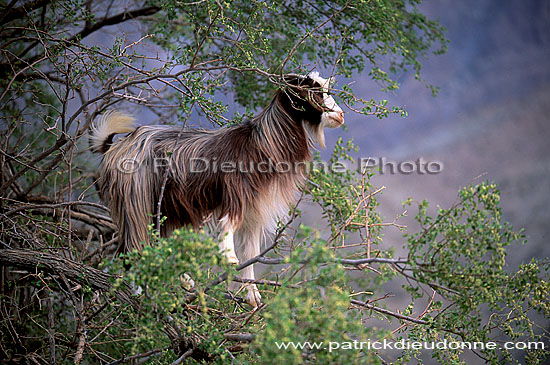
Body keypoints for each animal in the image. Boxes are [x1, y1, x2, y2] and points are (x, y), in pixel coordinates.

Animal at [91, 71, 344, 304]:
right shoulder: (235, 192)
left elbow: (250, 252)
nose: (340, 116)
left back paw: (183, 280)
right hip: (136, 199)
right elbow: (227, 223)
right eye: (312, 92)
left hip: (166, 207)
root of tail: (117, 146)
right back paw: (140, 293)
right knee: (133, 247)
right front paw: (228, 258)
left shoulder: (255, 210)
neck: (262, 144)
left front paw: (253, 296)